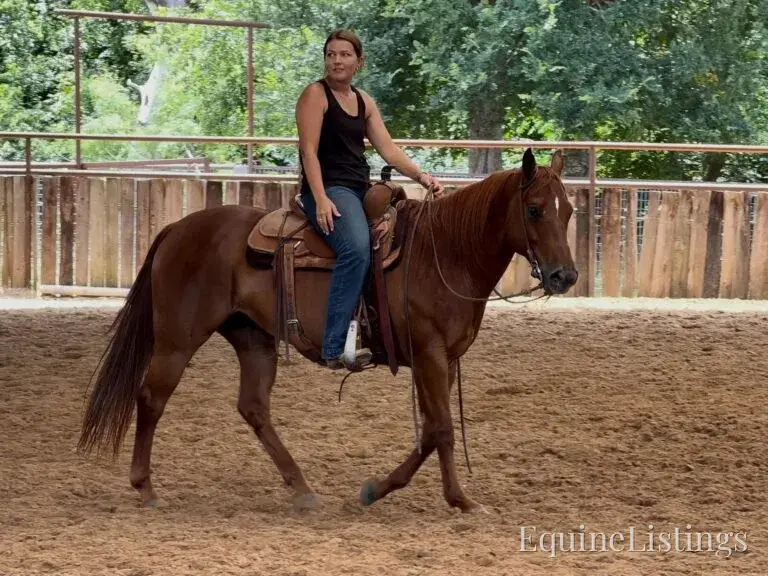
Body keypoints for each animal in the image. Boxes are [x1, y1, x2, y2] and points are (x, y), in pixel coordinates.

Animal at [77, 147, 578, 514]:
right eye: (535, 209)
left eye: (569, 210)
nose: (564, 276)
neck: (446, 254)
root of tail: (178, 228)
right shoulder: (430, 356)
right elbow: (441, 429)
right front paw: (461, 500)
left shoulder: (443, 360)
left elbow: (429, 432)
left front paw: (376, 488)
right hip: (178, 339)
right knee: (151, 397)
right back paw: (145, 488)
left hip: (253, 338)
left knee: (253, 407)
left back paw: (301, 488)